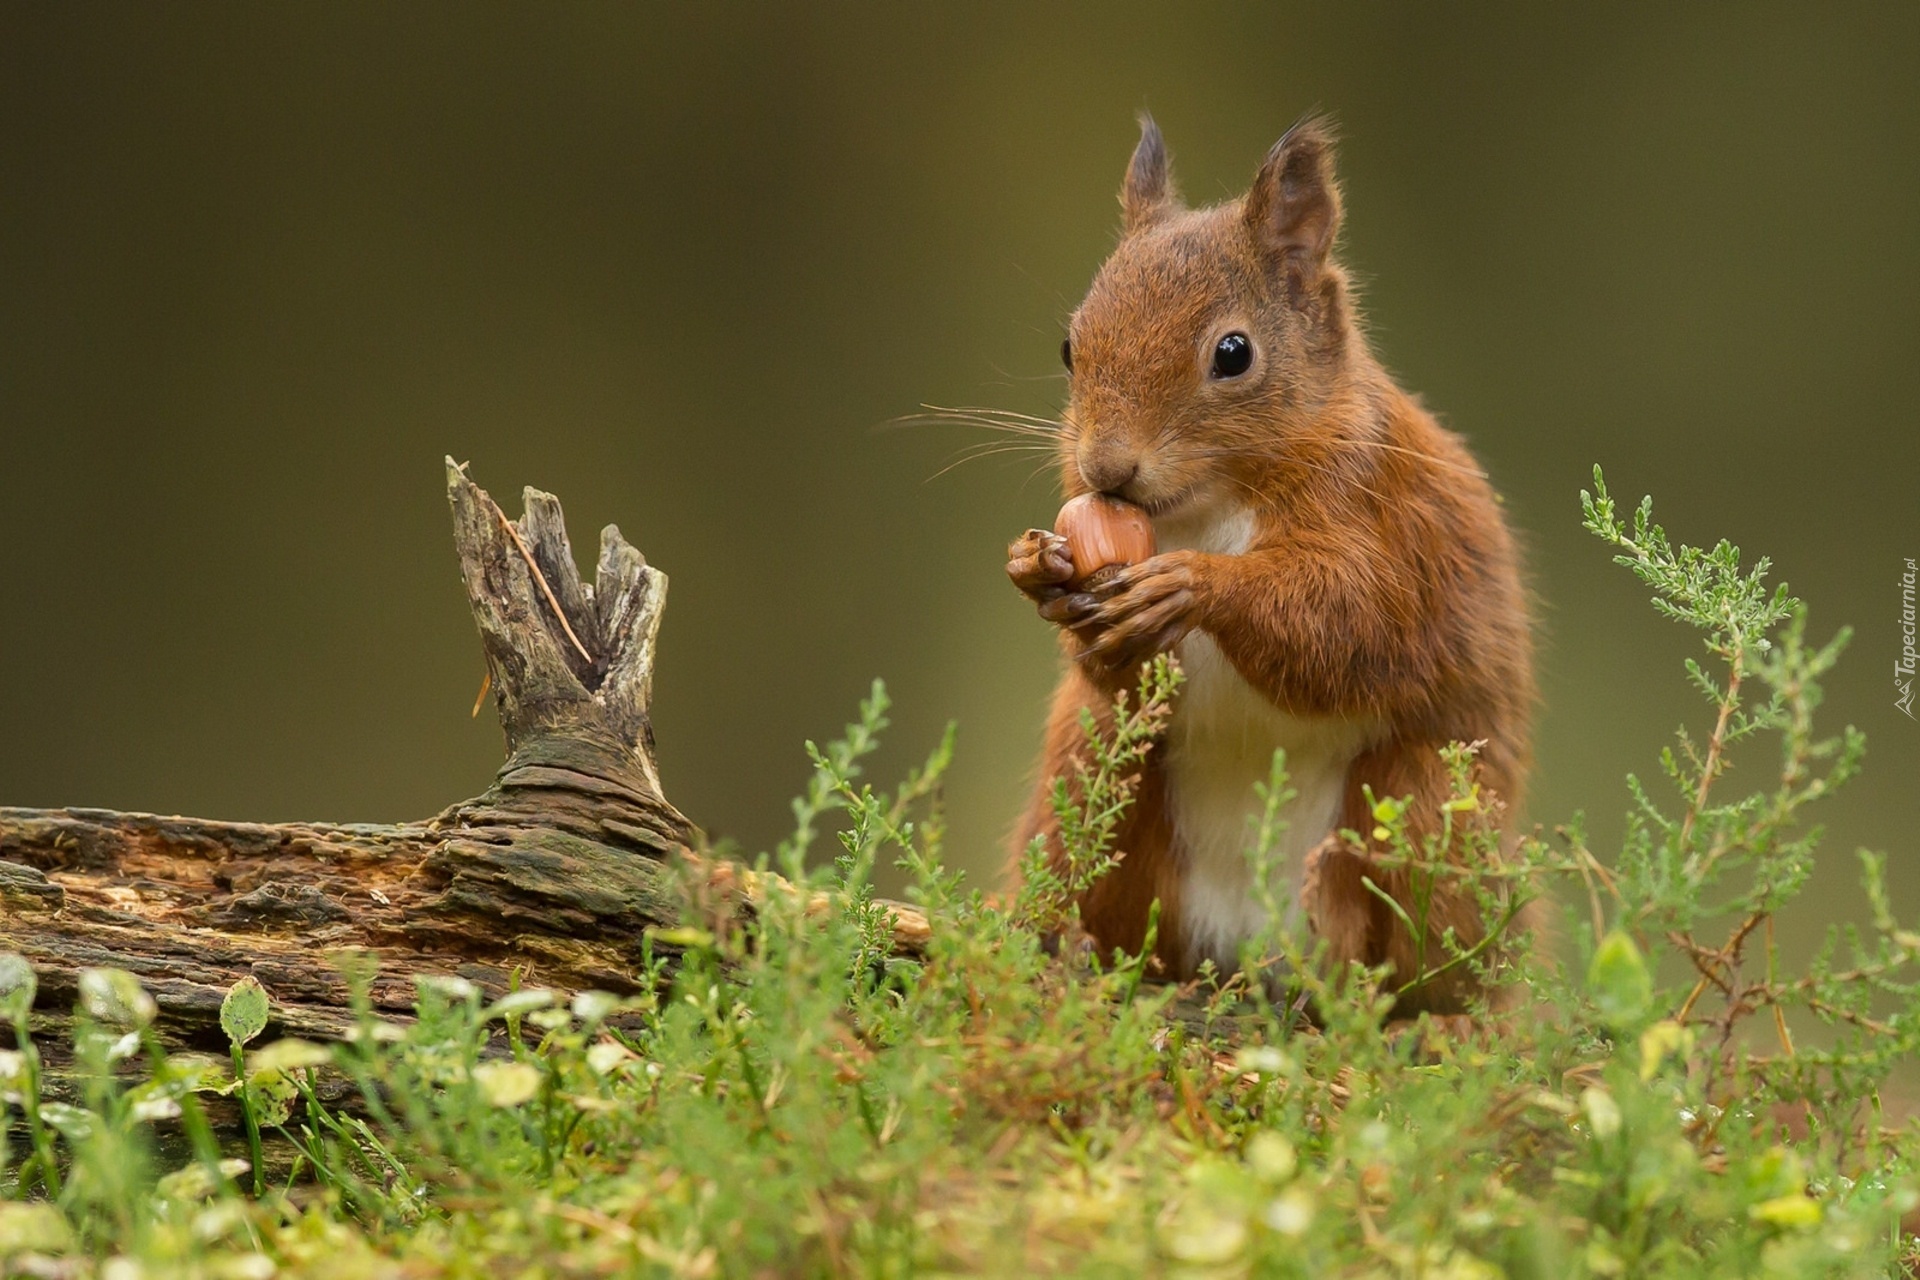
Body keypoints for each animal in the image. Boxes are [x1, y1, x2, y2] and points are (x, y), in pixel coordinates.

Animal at [1006, 115, 1528, 1013]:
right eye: (1071, 345)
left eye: (1233, 352)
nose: (1105, 469)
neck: (1207, 506)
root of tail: (1247, 949)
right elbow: (1117, 674)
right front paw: (1042, 573)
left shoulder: (1394, 531)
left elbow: (1347, 626)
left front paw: (1194, 587)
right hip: (1087, 777)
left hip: (1428, 808)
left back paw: (1437, 1016)